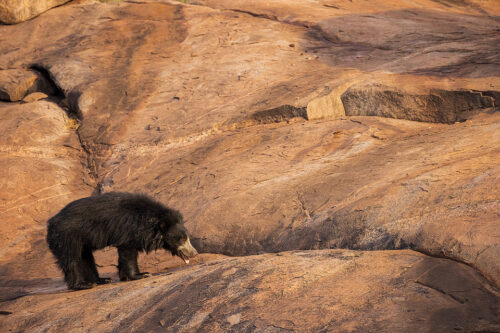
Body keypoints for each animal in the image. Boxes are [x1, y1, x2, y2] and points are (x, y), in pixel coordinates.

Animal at [45, 191, 197, 290]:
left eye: (187, 237)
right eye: (181, 239)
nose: (194, 253)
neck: (151, 221)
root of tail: (51, 222)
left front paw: (124, 276)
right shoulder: (128, 230)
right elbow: (128, 254)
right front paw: (142, 274)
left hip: (82, 241)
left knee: (86, 258)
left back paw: (102, 280)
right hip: (67, 236)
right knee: (71, 259)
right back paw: (82, 284)